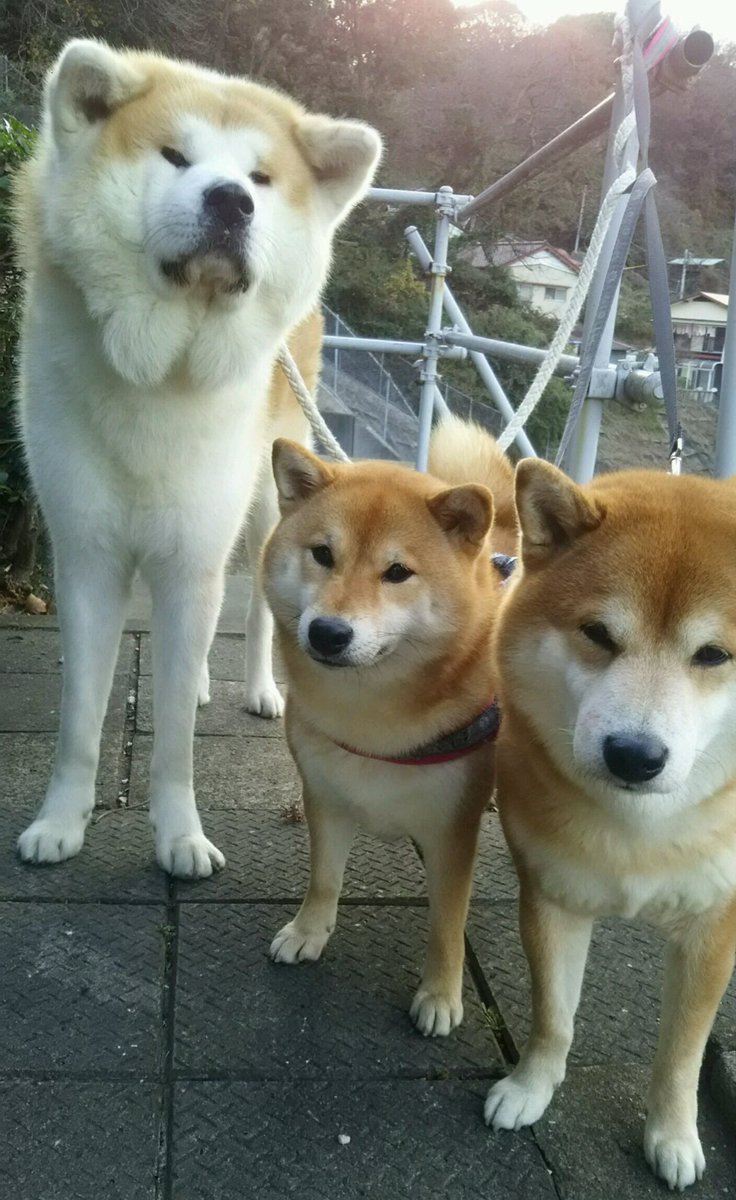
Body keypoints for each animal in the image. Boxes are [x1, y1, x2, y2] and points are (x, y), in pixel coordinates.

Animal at [14, 42, 381, 878]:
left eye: (261, 179)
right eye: (175, 157)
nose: (230, 202)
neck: (160, 372)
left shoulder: (192, 554)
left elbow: (176, 737)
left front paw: (179, 836)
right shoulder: (87, 555)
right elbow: (80, 721)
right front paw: (62, 822)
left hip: (268, 504)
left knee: (258, 610)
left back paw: (257, 689)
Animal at [264, 417, 516, 1036]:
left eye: (397, 572)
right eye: (323, 554)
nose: (328, 632)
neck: (373, 718)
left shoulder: (454, 830)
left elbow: (447, 925)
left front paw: (441, 995)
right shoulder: (325, 797)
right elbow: (324, 878)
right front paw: (309, 932)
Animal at [482, 458, 734, 1190]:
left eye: (714, 655)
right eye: (598, 634)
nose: (635, 755)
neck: (639, 832)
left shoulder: (714, 927)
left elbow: (682, 1052)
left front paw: (673, 1136)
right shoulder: (553, 897)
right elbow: (554, 1017)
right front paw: (530, 1088)